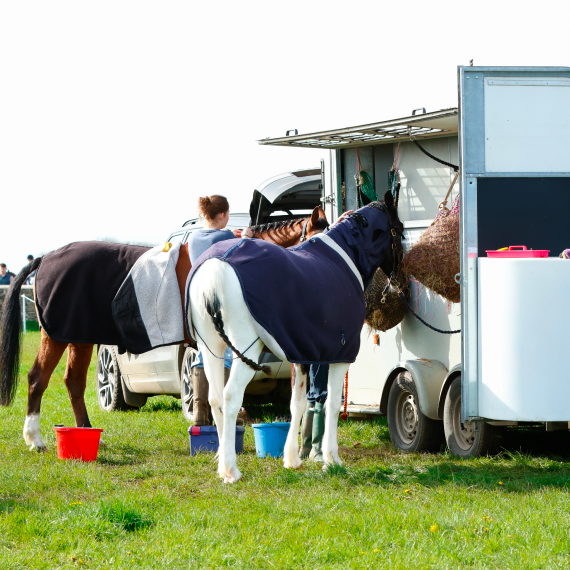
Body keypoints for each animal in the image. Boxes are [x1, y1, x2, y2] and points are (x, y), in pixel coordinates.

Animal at [0, 204, 326, 448]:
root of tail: (46, 258)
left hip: (78, 338)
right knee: (38, 379)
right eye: (315, 241)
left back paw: (86, 433)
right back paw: (36, 439)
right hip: (56, 336)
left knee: (73, 382)